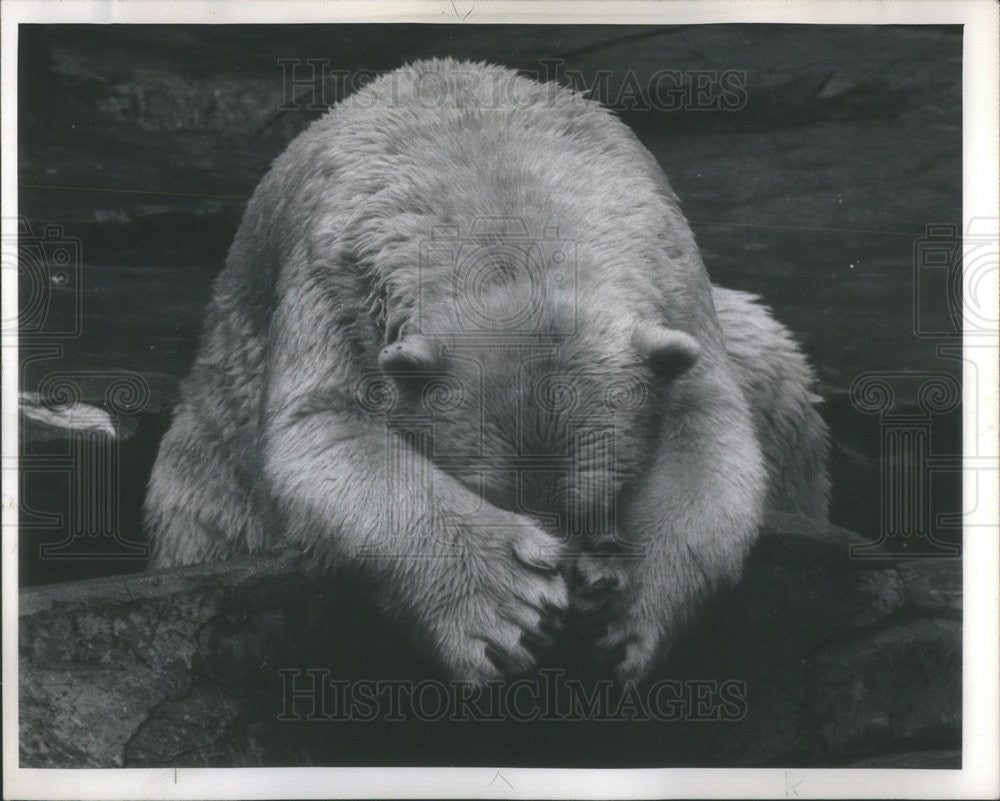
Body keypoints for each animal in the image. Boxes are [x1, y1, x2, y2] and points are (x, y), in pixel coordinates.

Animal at [143, 59, 828, 680]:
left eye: (593, 511)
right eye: (496, 498)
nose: (569, 580)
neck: (493, 176)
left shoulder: (673, 269)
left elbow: (709, 420)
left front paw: (623, 604)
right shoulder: (334, 273)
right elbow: (321, 425)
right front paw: (510, 610)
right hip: (208, 474)